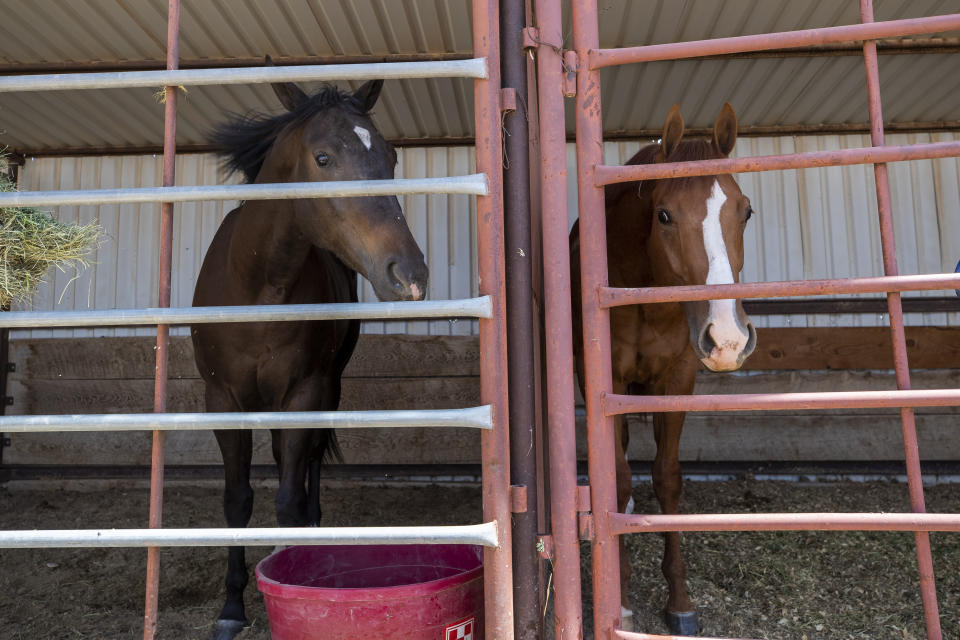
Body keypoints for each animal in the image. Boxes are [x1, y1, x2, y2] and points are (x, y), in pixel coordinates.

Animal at [193, 76, 426, 640]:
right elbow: (238, 499)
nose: (409, 274)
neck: (257, 286)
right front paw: (231, 608)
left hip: (326, 388)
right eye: (323, 157)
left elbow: (287, 496)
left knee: (307, 465)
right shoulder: (222, 400)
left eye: (390, 156)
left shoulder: (304, 392)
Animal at [568, 105, 756, 636]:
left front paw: (680, 600)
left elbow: (667, 477)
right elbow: (618, 477)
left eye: (746, 211)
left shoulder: (677, 379)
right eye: (665, 214)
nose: (728, 338)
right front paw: (622, 598)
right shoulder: (604, 382)